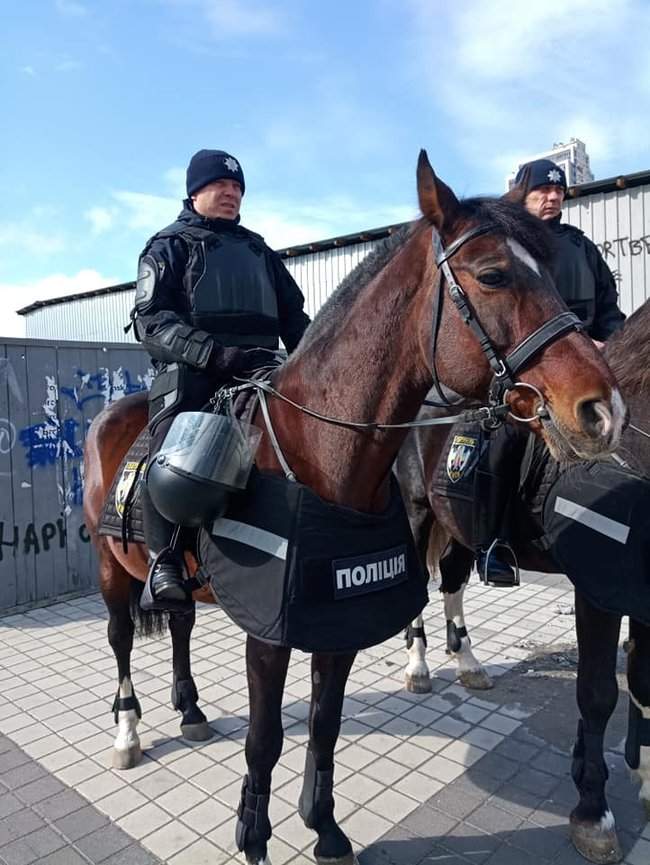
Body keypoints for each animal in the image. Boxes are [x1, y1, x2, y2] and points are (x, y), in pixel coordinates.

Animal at [392, 300, 648, 860]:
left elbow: (643, 685)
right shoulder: (598, 592)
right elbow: (599, 693)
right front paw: (593, 811)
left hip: (459, 526)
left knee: (452, 583)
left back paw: (467, 662)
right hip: (417, 513)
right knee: (419, 591)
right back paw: (419, 666)